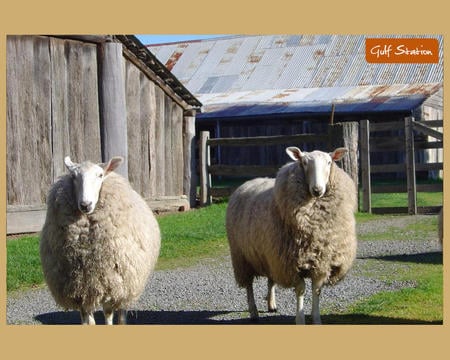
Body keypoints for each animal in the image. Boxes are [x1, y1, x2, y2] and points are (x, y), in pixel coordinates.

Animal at [39, 156, 161, 324]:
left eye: (100, 175)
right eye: (73, 176)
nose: (85, 205)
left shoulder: (110, 283)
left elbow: (108, 314)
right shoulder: (79, 289)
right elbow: (87, 319)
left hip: (126, 281)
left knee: (121, 310)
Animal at [227, 146, 356, 324]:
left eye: (329, 162)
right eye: (304, 162)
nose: (317, 190)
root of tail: (249, 182)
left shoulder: (321, 261)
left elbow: (316, 290)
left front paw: (316, 319)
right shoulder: (292, 264)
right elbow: (301, 290)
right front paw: (300, 320)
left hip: (270, 255)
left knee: (271, 279)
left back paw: (271, 304)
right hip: (242, 257)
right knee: (248, 285)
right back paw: (253, 312)